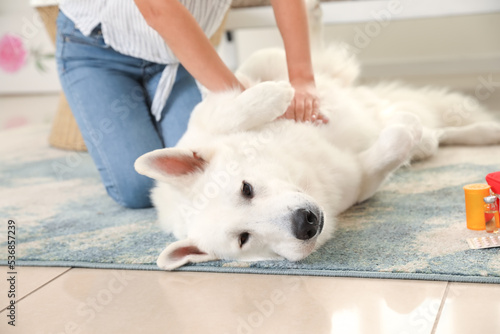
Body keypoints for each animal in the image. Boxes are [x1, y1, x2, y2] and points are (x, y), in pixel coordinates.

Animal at [134, 4, 500, 272]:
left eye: (246, 188)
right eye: (243, 239)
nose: (305, 223)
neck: (301, 169)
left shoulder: (207, 115)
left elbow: (232, 101)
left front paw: (276, 95)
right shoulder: (360, 183)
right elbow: (396, 140)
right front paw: (403, 128)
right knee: (434, 135)